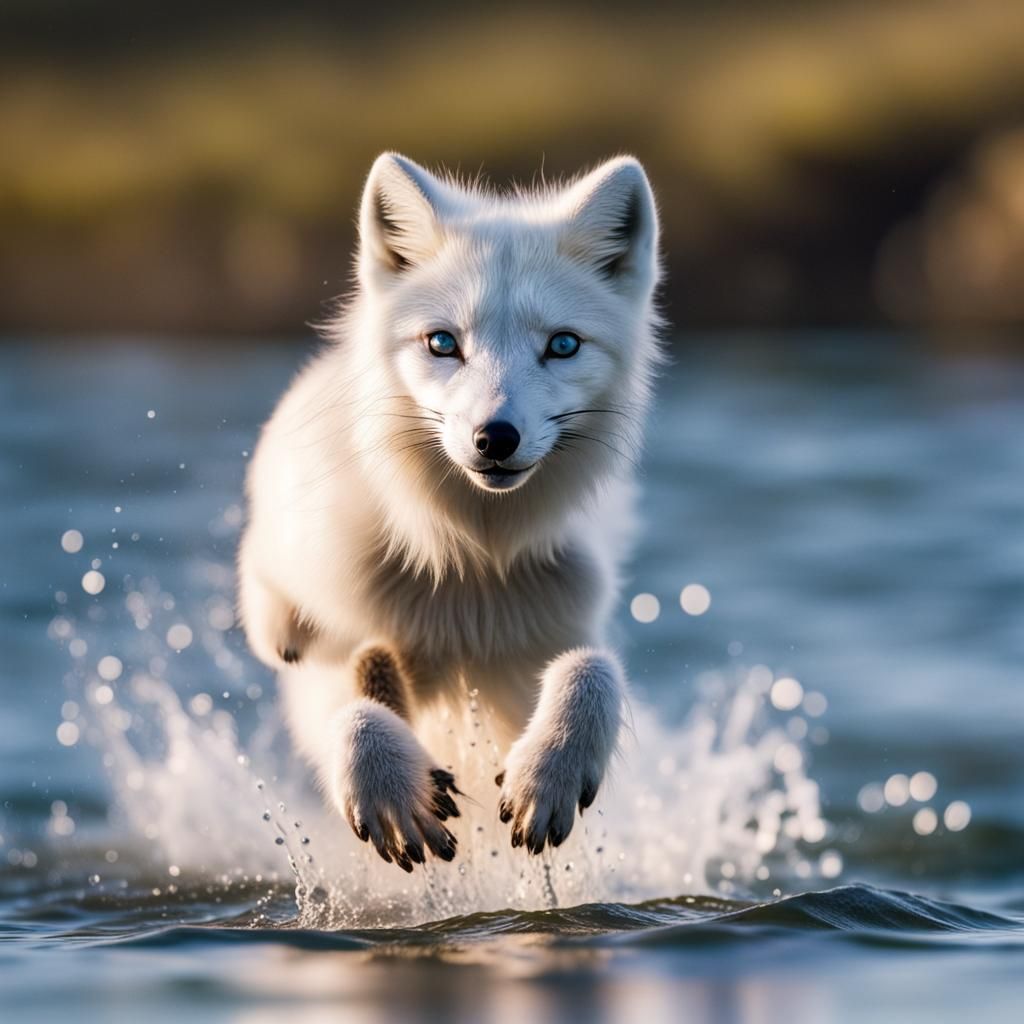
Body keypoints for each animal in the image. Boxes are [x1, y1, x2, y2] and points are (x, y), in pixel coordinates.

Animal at [238, 152, 662, 872]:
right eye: (442, 343)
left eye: (563, 346)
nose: (496, 439)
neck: (471, 562)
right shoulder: (335, 646)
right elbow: (354, 714)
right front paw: (388, 789)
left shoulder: (552, 641)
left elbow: (593, 670)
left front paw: (549, 773)